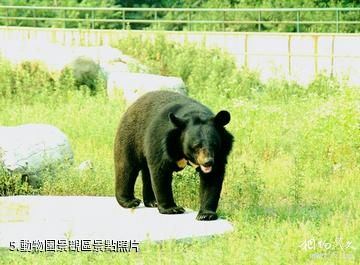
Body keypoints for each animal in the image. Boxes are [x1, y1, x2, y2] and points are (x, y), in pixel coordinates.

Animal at [114, 90, 233, 219]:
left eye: (215, 145)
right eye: (196, 146)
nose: (208, 162)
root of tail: (132, 105)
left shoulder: (220, 153)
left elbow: (212, 177)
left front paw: (206, 214)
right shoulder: (162, 142)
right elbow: (161, 171)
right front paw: (172, 209)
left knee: (146, 172)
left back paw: (152, 202)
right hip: (131, 136)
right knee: (127, 166)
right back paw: (130, 201)